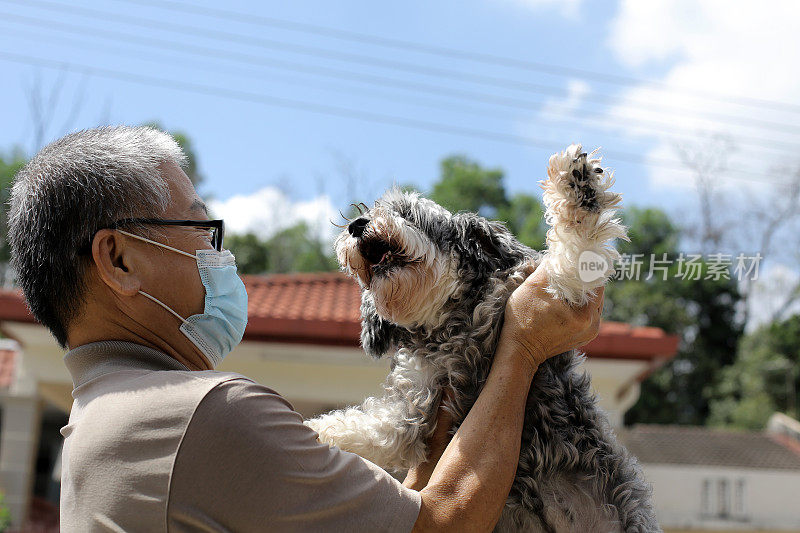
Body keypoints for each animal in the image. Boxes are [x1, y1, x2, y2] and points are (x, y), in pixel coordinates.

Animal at [304, 145, 660, 532]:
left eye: (407, 212)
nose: (357, 224)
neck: (451, 327)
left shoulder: (557, 289)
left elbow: (575, 247)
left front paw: (578, 186)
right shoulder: (416, 406)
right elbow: (372, 427)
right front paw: (313, 429)